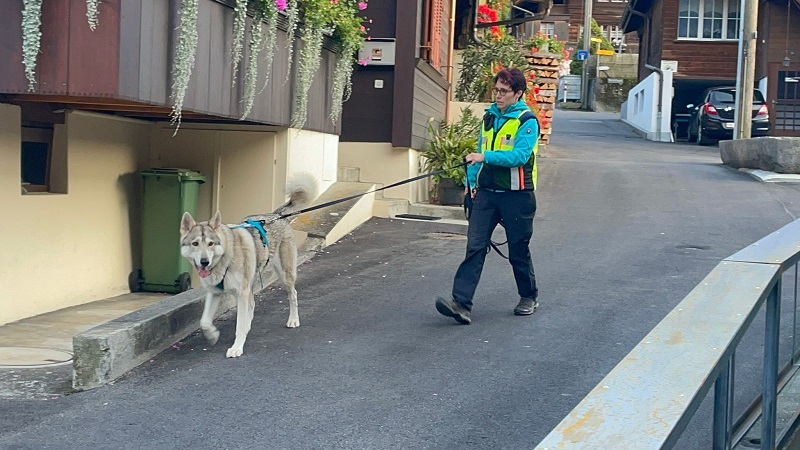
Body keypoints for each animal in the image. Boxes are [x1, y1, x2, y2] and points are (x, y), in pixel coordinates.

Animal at [180, 173, 318, 358]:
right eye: (195, 243)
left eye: (210, 243)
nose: (204, 262)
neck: (224, 260)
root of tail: (275, 215)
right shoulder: (215, 292)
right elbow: (204, 321)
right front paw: (213, 335)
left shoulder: (241, 292)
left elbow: (239, 324)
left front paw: (237, 347)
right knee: (252, 305)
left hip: (284, 275)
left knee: (293, 294)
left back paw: (293, 320)